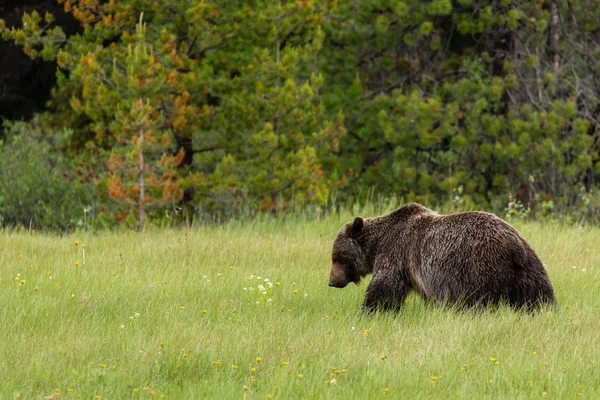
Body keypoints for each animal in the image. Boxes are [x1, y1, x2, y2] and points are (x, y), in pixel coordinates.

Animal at [330, 203, 556, 312]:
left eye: (337, 257)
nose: (332, 282)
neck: (377, 244)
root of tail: (514, 243)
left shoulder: (396, 253)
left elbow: (385, 286)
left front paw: (370, 310)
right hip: (528, 268)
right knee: (538, 295)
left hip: (481, 265)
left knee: (479, 300)